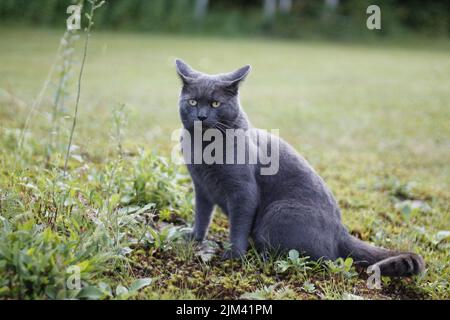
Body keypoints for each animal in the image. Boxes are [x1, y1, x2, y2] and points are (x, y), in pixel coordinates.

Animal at [174, 58, 424, 276]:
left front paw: (233, 256)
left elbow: (238, 226)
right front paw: (194, 238)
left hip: (277, 213)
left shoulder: (243, 192)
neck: (203, 148)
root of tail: (341, 231)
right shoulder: (201, 187)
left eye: (215, 103)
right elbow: (202, 216)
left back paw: (263, 258)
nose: (201, 116)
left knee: (323, 259)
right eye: (193, 102)